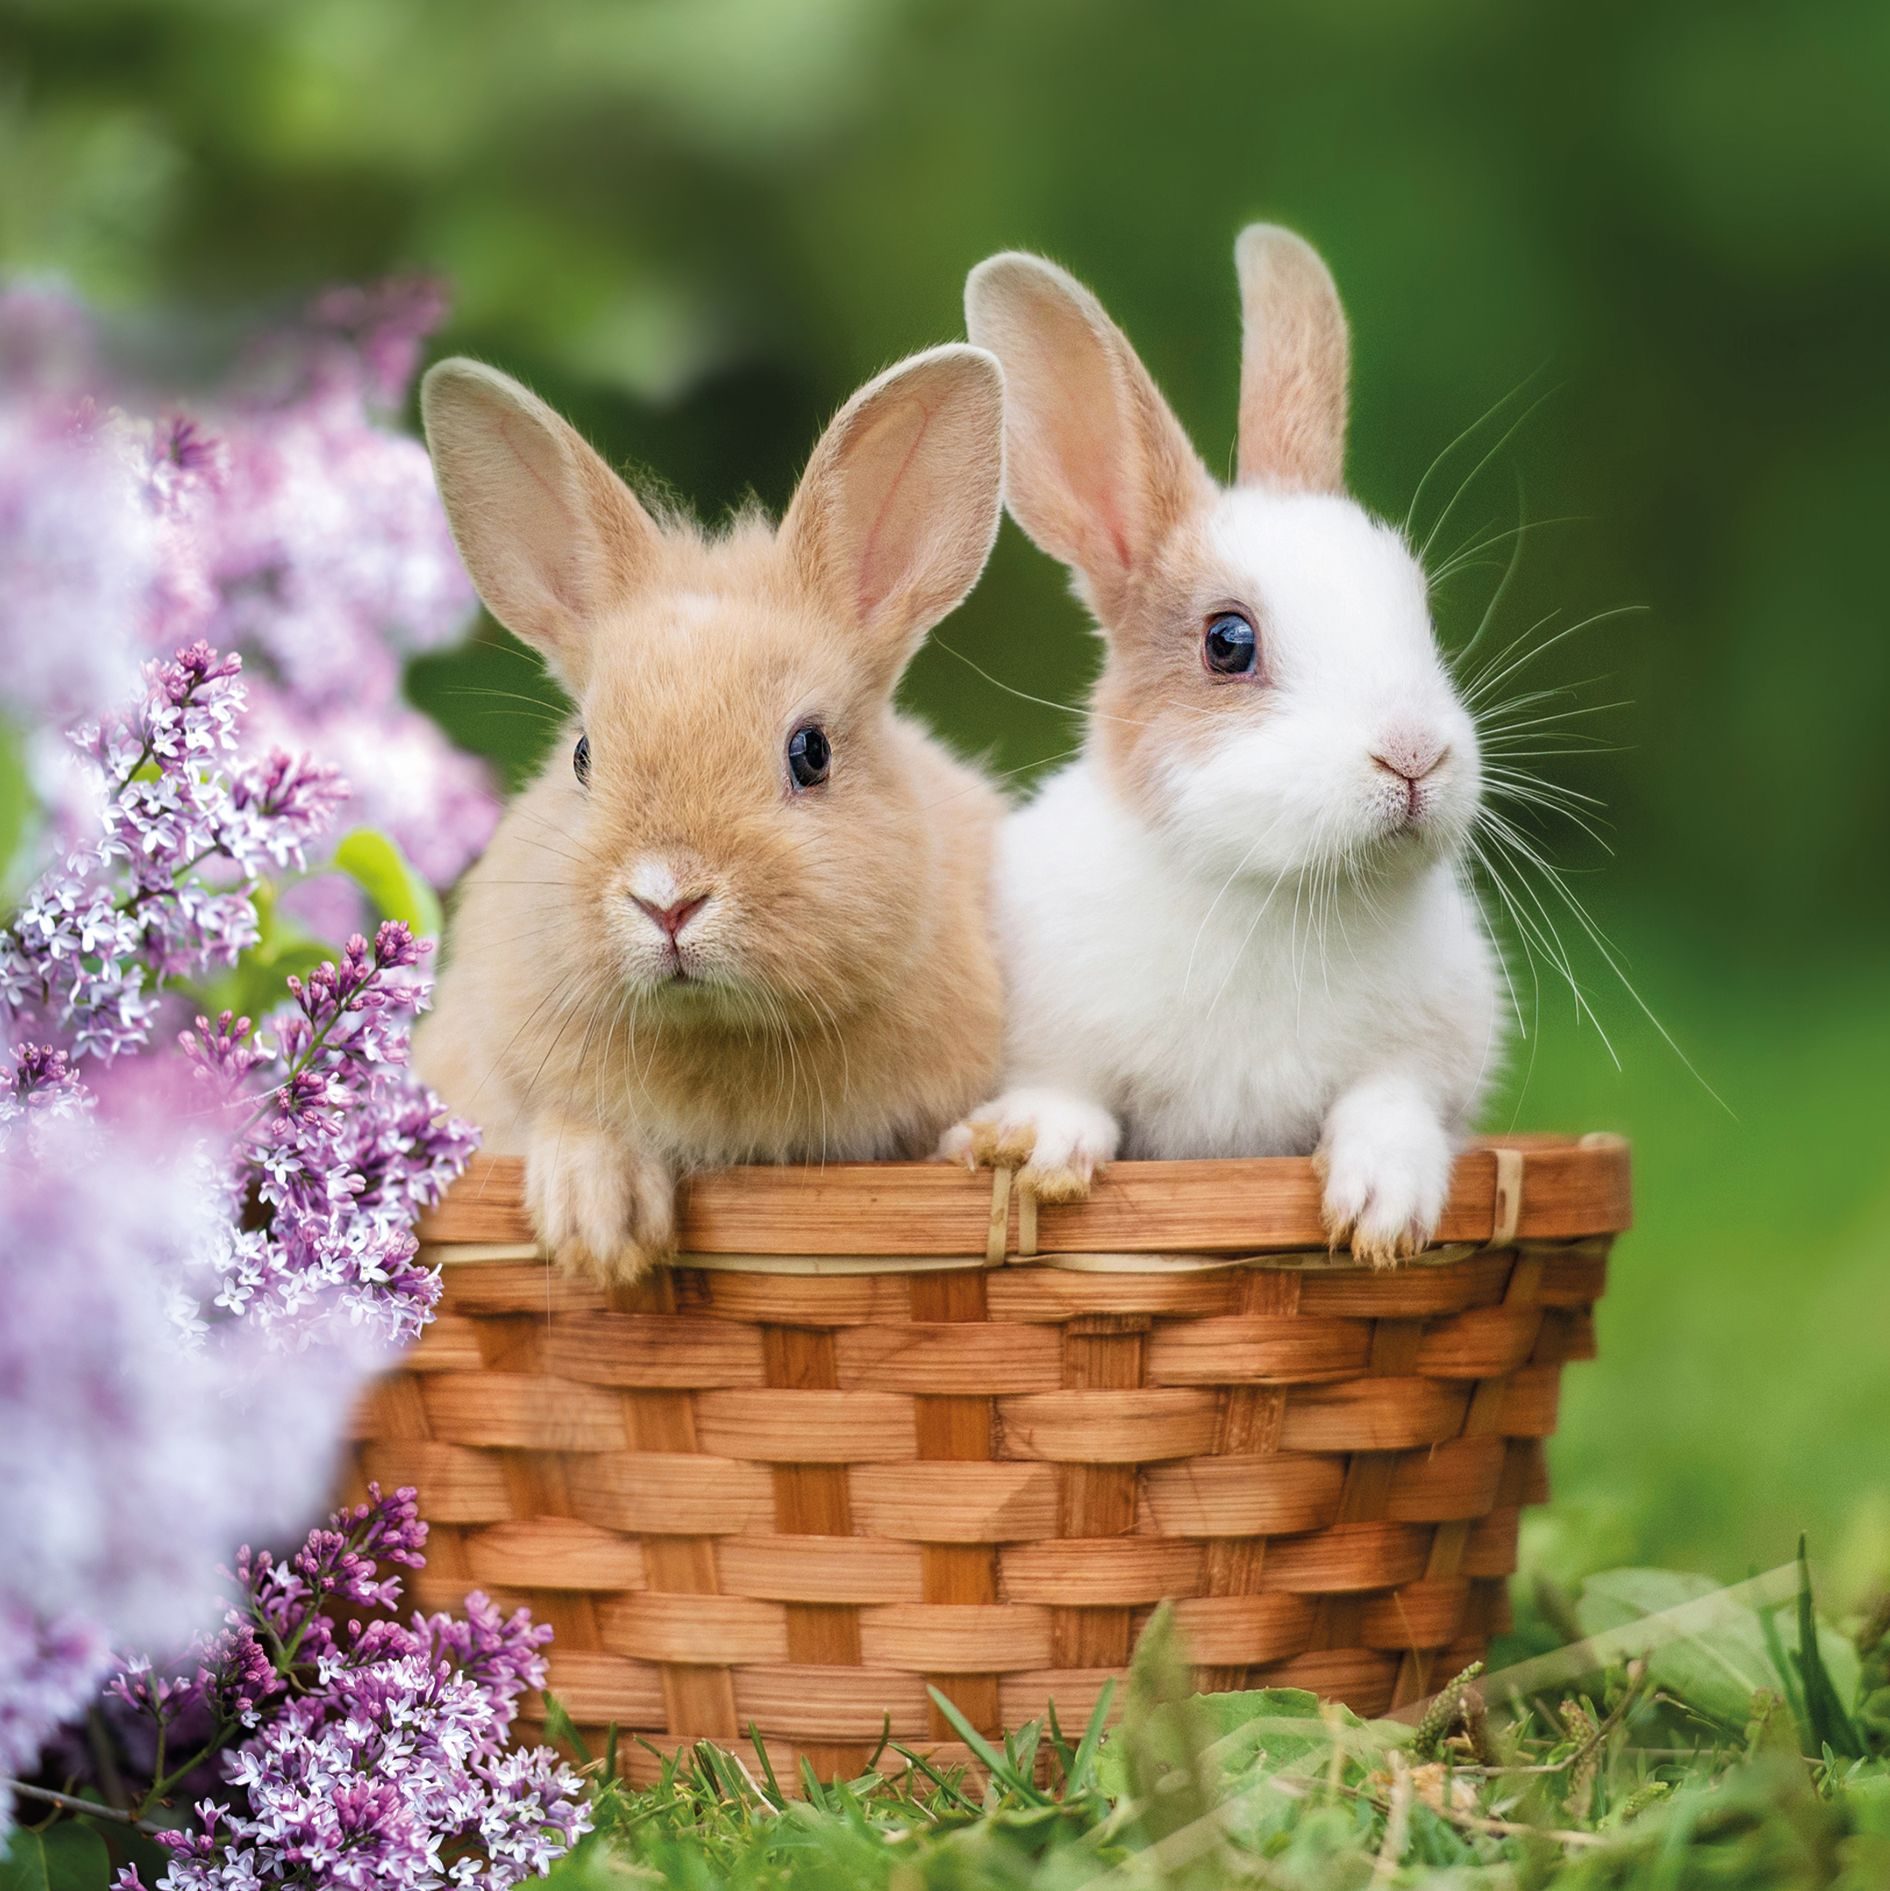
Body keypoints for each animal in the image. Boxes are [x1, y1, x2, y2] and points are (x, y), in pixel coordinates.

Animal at [940, 227, 1502, 1266]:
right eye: (1228, 641)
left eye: (1421, 608)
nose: (1413, 755)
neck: (1277, 892)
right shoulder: (1050, 1035)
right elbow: (1071, 1092)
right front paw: (1030, 1147)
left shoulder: (1428, 1058)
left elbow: (1391, 1104)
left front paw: (1383, 1213)